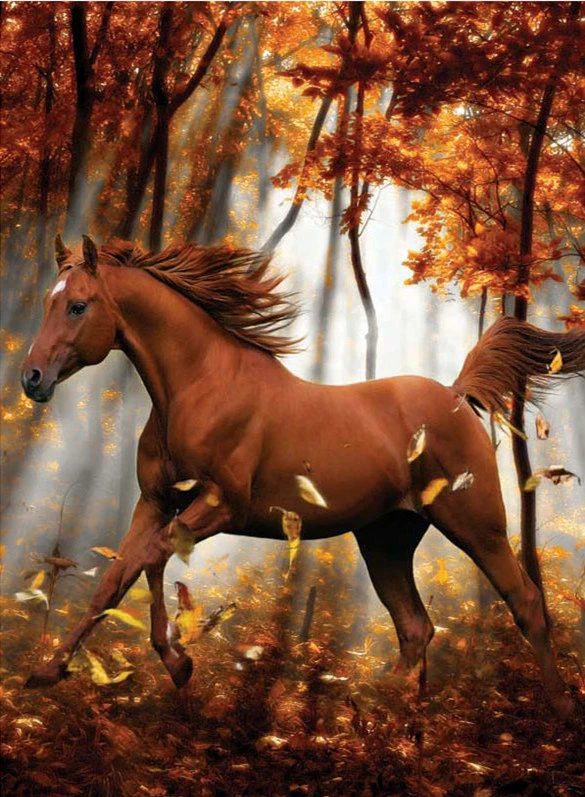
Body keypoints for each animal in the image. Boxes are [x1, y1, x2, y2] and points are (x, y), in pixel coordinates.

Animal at [21, 235, 585, 716]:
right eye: (49, 301)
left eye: (78, 305)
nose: (33, 379)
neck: (199, 386)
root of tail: (455, 394)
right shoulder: (156, 502)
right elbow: (115, 579)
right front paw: (48, 672)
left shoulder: (220, 505)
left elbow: (150, 558)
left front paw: (179, 663)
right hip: (385, 541)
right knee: (415, 627)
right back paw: (386, 715)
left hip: (477, 526)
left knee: (525, 601)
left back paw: (558, 710)